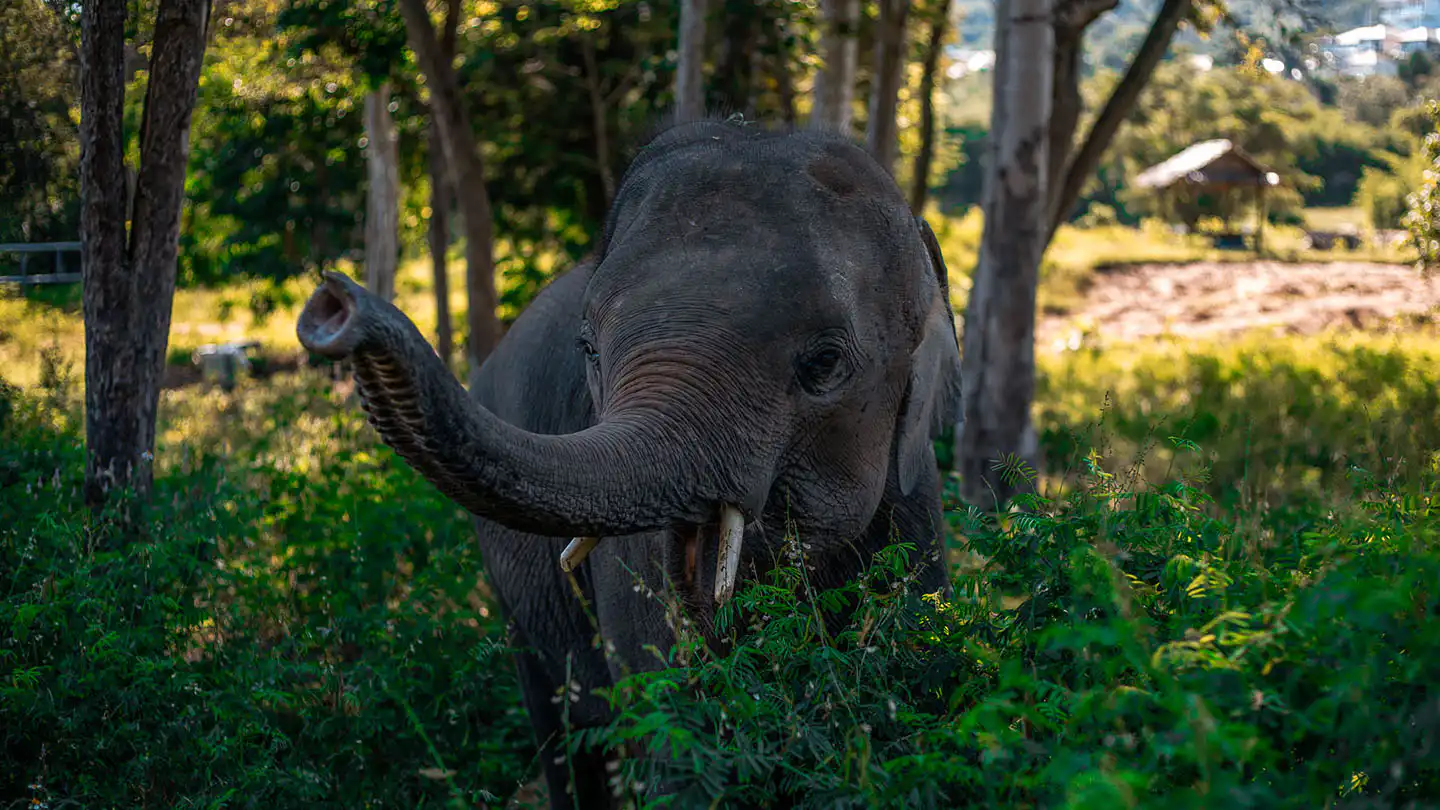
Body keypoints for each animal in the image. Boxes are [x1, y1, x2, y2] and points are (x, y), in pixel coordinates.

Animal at [295, 116, 964, 809]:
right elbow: (670, 732)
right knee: (558, 726)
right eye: (588, 348)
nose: (333, 300)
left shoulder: (917, 496)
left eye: (825, 363)